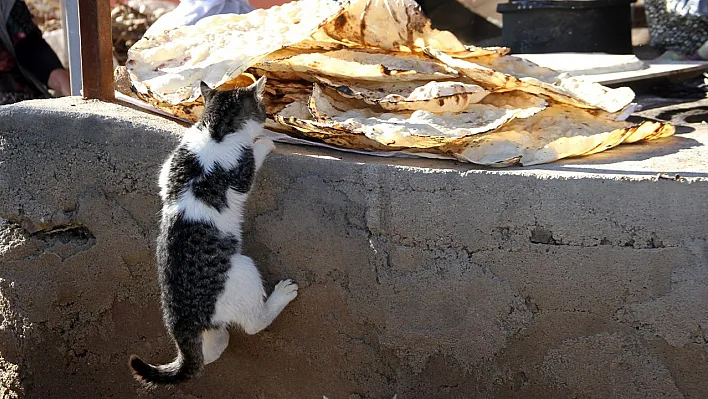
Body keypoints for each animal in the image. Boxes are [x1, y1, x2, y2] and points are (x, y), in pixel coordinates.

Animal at [129, 76, 298, 386]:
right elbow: (253, 155)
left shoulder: (167, 171)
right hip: (243, 271)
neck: (215, 129)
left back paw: (218, 341)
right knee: (254, 324)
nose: (268, 117)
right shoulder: (242, 171)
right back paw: (281, 295)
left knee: (206, 354)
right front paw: (265, 141)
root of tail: (182, 323)